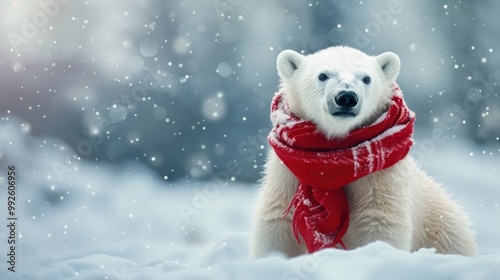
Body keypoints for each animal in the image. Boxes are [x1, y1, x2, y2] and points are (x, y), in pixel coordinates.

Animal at [252, 46, 478, 258]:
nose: (346, 97)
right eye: (323, 75)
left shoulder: (381, 178)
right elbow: (278, 220)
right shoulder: (286, 175)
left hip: (445, 230)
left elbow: (379, 220)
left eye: (366, 78)